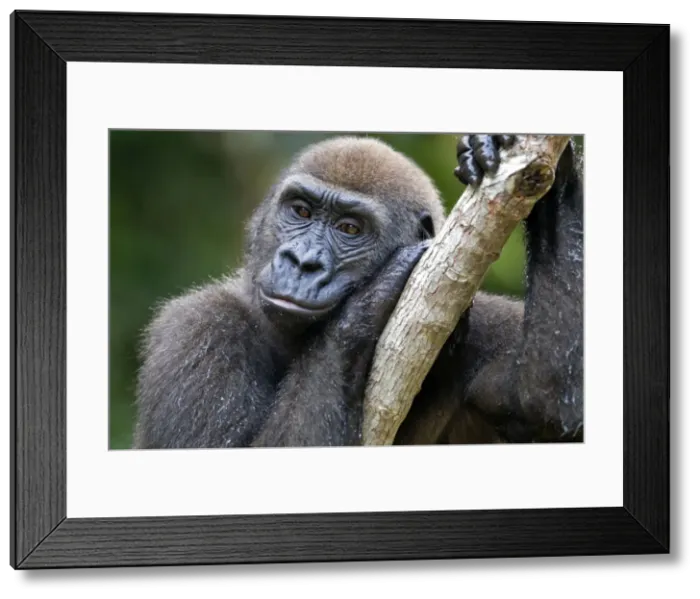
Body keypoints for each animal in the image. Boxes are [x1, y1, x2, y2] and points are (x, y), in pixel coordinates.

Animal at [131, 134, 583, 449]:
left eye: (349, 229)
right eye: (300, 211)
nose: (302, 262)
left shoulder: (474, 316)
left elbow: (546, 402)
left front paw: (558, 168)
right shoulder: (196, 329)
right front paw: (369, 304)